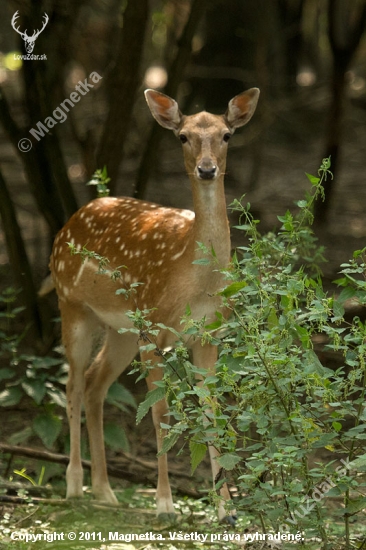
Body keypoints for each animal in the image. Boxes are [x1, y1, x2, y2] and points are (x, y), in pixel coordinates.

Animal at [47, 87, 258, 528]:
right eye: (183, 136)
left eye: (227, 135)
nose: (207, 169)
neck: (194, 280)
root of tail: (69, 221)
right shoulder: (154, 328)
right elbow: (160, 413)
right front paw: (164, 504)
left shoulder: (209, 334)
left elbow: (211, 412)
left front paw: (226, 510)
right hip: (72, 304)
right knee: (72, 384)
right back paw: (75, 487)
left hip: (120, 330)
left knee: (94, 383)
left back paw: (106, 492)